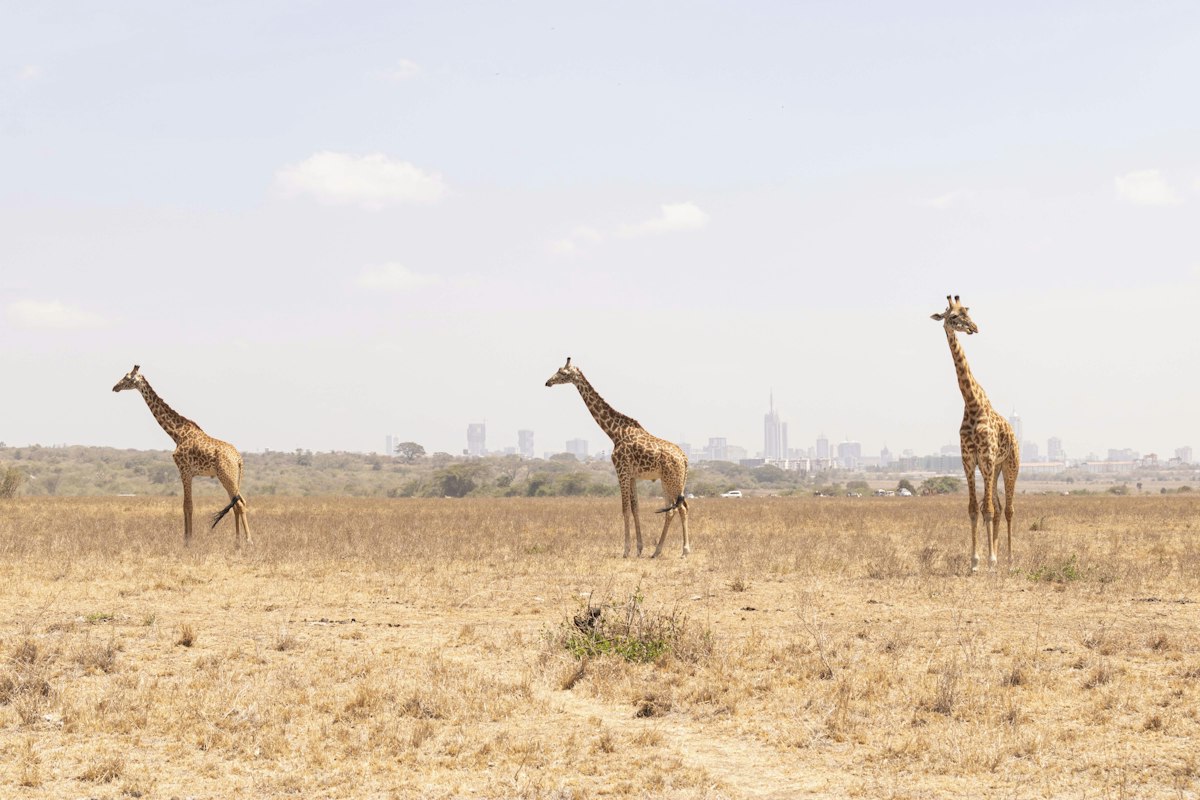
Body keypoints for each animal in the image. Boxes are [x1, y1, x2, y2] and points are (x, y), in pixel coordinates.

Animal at [112, 365, 250, 546]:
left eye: (127, 378)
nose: (115, 387)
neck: (176, 433)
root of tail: (239, 459)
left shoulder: (184, 470)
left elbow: (187, 505)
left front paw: (188, 541)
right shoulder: (188, 472)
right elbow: (186, 505)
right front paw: (187, 538)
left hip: (226, 476)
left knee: (239, 504)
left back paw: (248, 541)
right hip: (232, 477)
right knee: (236, 504)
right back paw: (237, 541)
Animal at [545, 358, 691, 558]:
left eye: (563, 372)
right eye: (558, 370)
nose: (548, 382)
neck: (614, 432)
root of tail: (684, 458)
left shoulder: (621, 471)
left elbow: (624, 509)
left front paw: (626, 550)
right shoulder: (632, 475)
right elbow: (635, 508)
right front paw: (639, 548)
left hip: (672, 480)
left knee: (681, 508)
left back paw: (684, 551)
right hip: (668, 480)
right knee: (673, 509)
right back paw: (656, 551)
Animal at [931, 296, 1019, 572]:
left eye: (967, 313)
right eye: (953, 317)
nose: (974, 328)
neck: (971, 403)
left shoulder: (988, 458)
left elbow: (987, 510)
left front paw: (990, 561)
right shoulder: (969, 461)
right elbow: (974, 509)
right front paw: (976, 561)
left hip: (1009, 465)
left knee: (1008, 509)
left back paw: (1009, 561)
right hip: (994, 468)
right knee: (999, 507)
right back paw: (1000, 557)